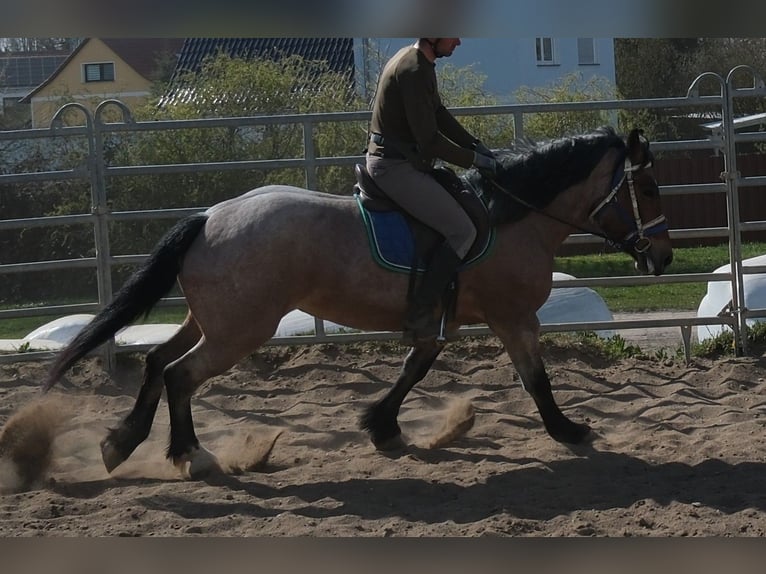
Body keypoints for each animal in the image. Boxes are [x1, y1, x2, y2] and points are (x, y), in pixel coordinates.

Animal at [43, 126, 672, 478]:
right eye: (647, 187)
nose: (662, 256)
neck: (510, 216)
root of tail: (210, 217)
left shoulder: (444, 319)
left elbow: (415, 367)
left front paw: (383, 427)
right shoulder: (513, 317)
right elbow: (535, 379)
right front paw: (568, 429)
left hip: (210, 320)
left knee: (156, 363)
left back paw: (120, 443)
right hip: (238, 330)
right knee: (179, 374)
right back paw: (191, 456)